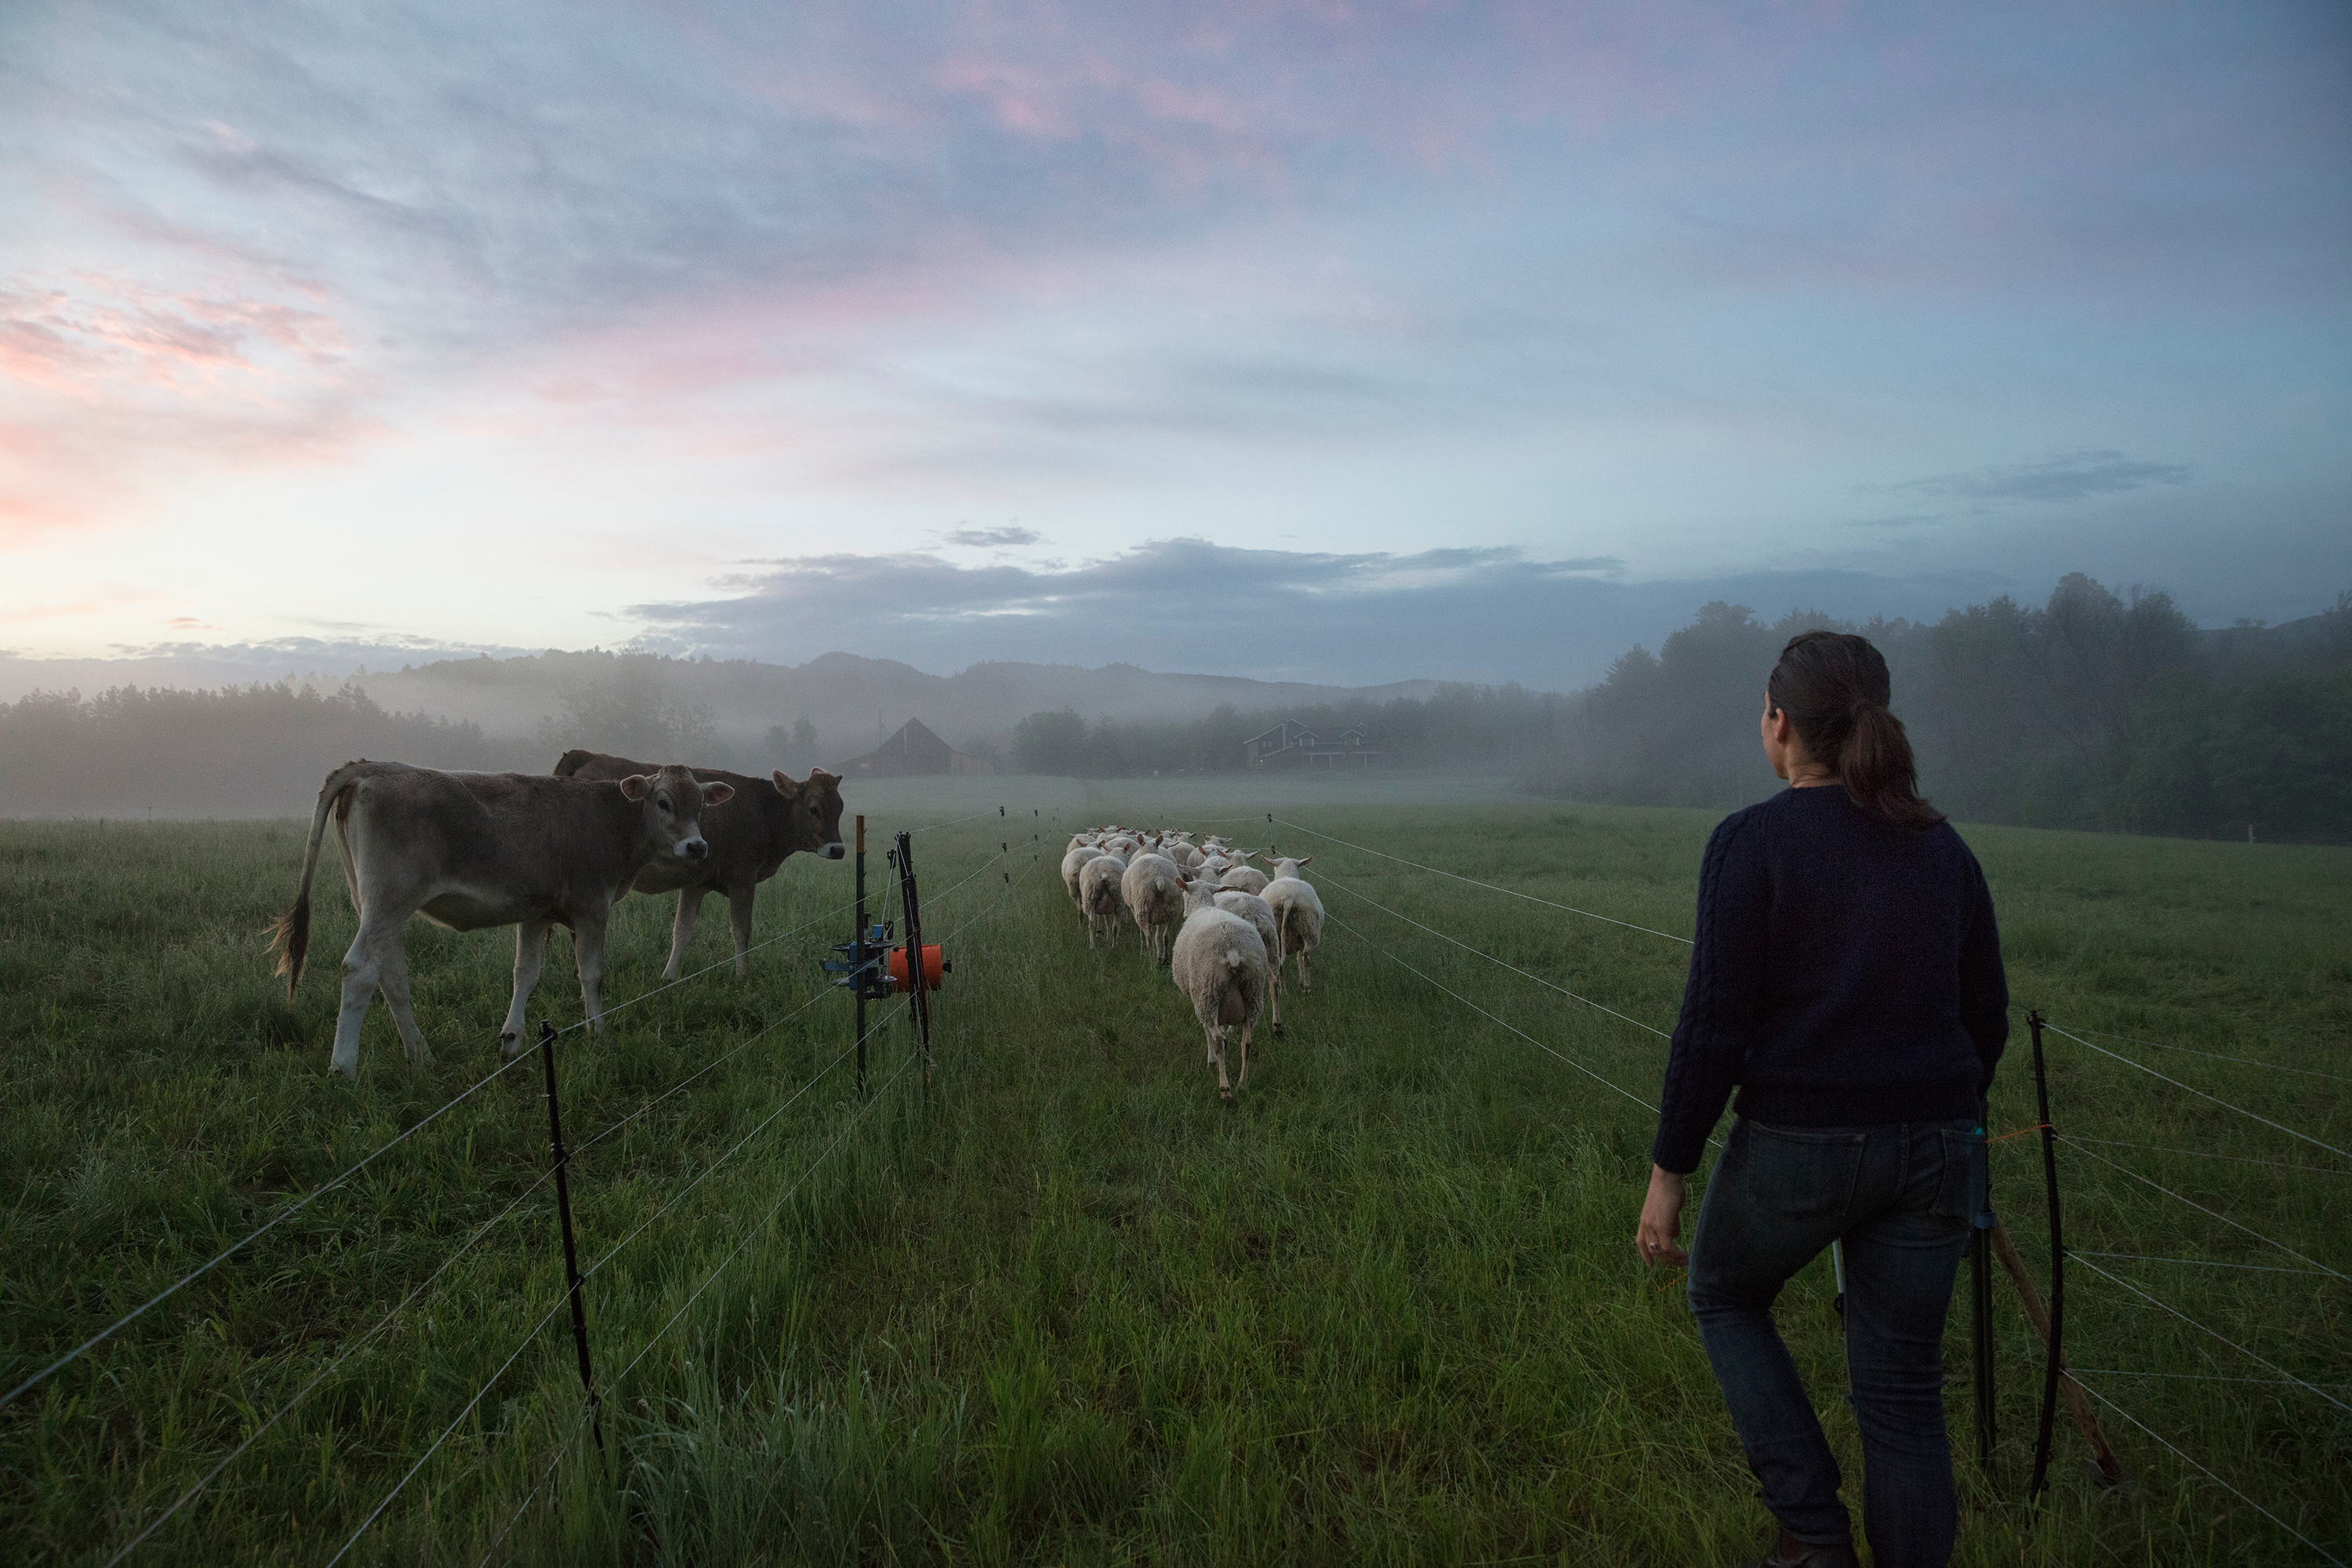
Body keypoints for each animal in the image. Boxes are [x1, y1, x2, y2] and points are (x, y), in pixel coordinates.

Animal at [269, 761, 724, 1081]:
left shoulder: (537, 913)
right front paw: (599, 1034)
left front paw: (511, 1039)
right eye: (663, 802)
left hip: (376, 907)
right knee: (360, 969)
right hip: (388, 900)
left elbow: (526, 973)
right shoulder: (592, 907)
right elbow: (592, 975)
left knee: (392, 975)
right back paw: (344, 1067)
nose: (698, 846)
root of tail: (373, 767)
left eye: (701, 806)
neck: (608, 818)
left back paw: (421, 1055)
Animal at [550, 752, 847, 982]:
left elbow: (682, 930)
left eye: (841, 808)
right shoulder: (743, 878)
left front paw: (668, 976)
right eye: (814, 809)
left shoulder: (695, 883)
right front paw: (742, 974)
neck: (762, 811)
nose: (838, 849)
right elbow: (741, 929)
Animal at [1171, 884, 1270, 1105]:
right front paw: (1226, 1037)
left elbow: (1209, 1032)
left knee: (1215, 1039)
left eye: (1183, 894)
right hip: (1253, 993)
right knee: (1247, 1042)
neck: (1203, 906)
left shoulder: (1198, 996)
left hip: (1208, 991)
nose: (1183, 914)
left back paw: (1225, 1088)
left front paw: (1212, 1060)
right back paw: (1242, 1082)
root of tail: (1232, 950)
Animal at [1270, 860, 1327, 992]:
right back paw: (1307, 987)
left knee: (1280, 961)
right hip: (1309, 927)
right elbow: (1299, 958)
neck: (1287, 875)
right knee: (1306, 956)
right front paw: (1301, 981)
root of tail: (1288, 899)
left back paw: (1283, 989)